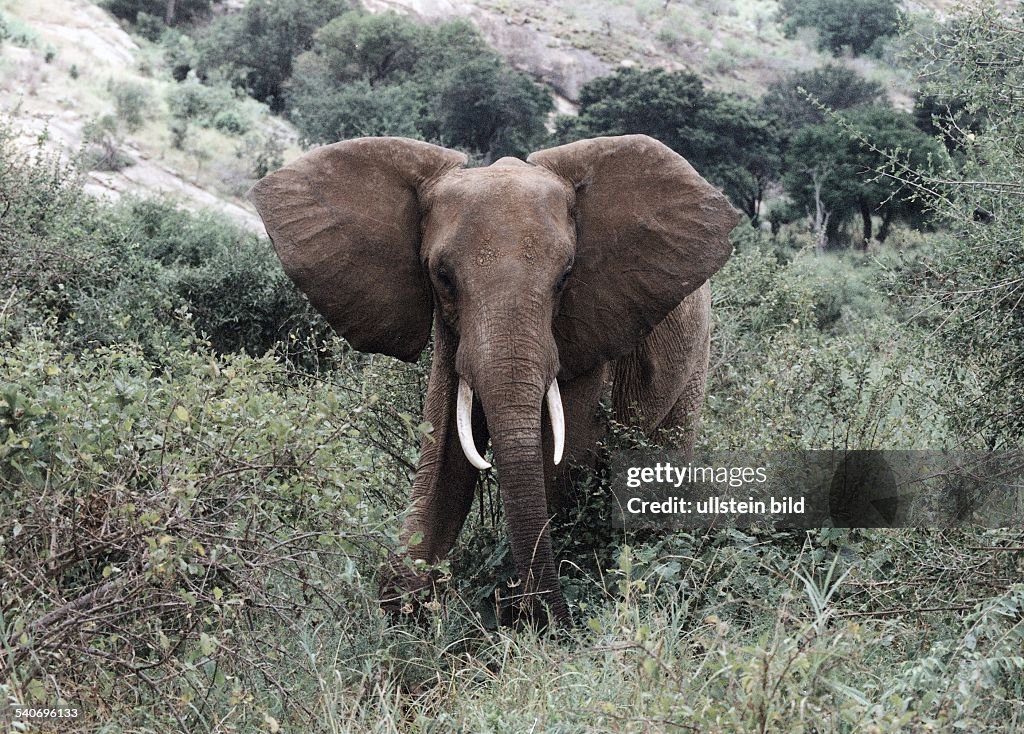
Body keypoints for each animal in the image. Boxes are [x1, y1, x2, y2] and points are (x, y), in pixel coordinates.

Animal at [250, 133, 741, 622]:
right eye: (443, 277)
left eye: (566, 277)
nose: (554, 622)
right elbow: (446, 448)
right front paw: (404, 612)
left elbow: (562, 459)